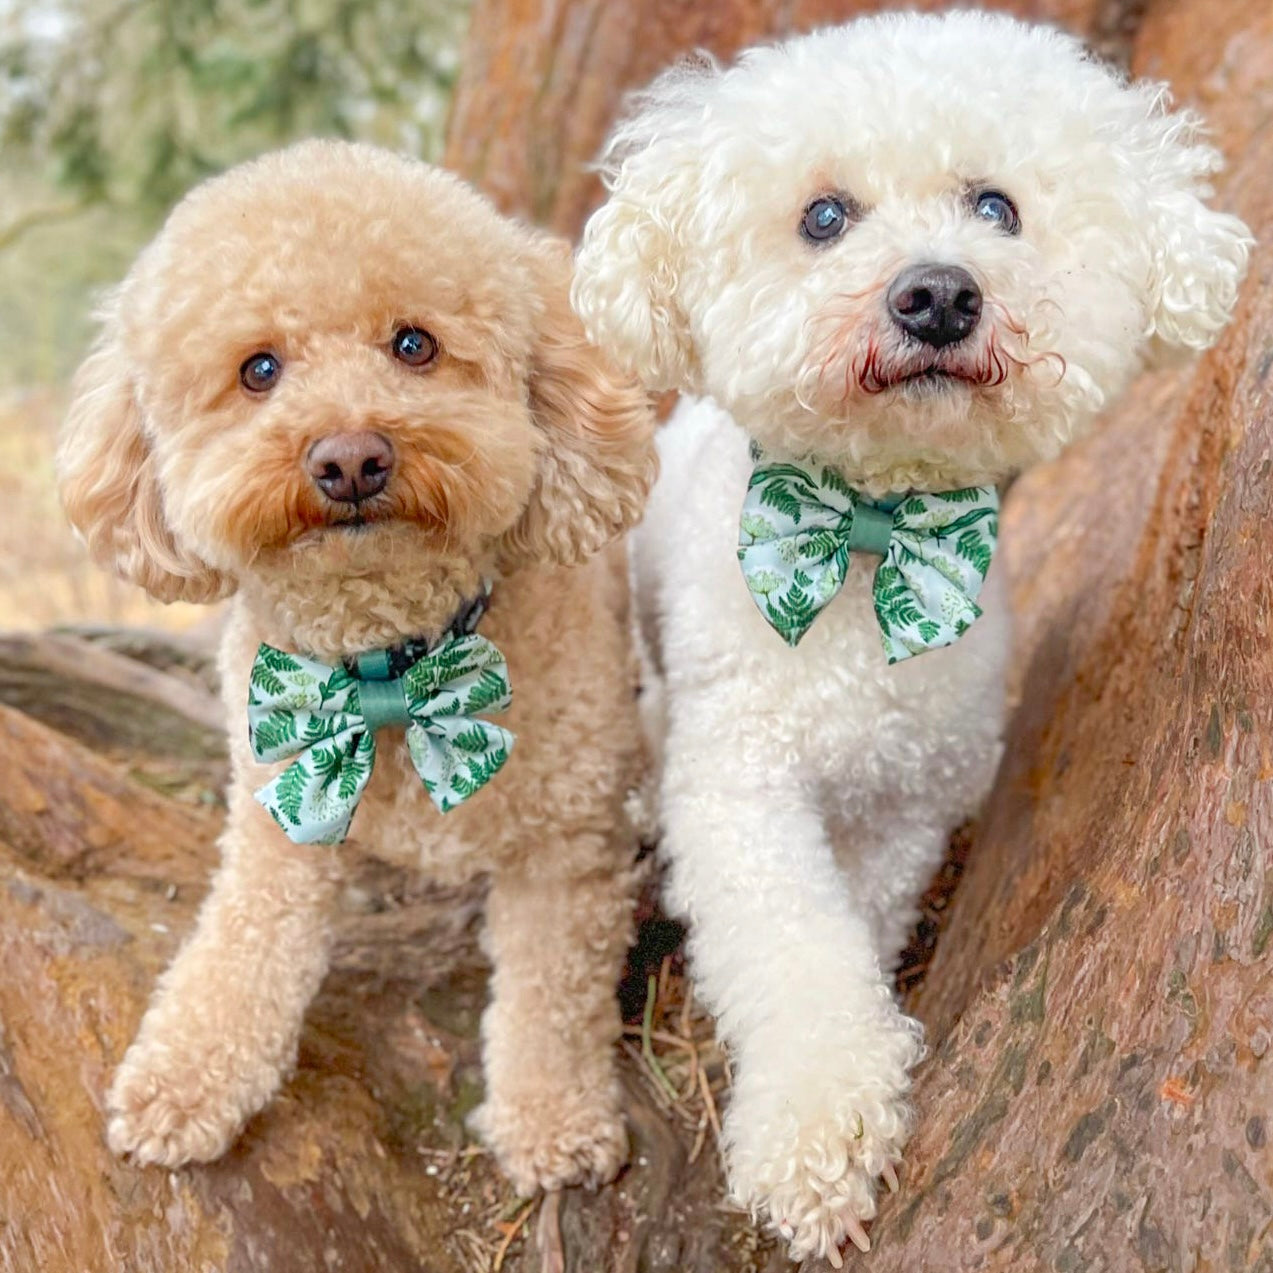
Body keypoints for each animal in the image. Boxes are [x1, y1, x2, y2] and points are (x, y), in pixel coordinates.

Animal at [572, 9, 1247, 1262]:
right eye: (824, 216)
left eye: (995, 206)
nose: (936, 295)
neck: (869, 539)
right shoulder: (740, 793)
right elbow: (795, 950)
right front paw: (812, 1135)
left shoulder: (908, 803)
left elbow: (860, 927)